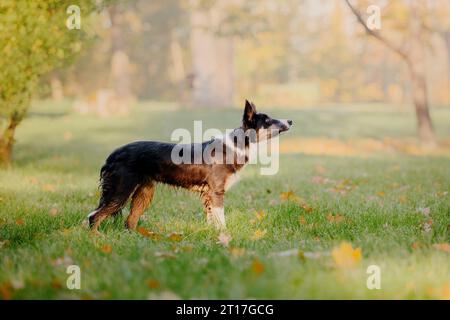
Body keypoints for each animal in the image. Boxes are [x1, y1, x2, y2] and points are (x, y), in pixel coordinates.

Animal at [88, 99, 292, 231]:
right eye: (268, 121)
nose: (290, 120)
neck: (238, 144)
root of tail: (113, 154)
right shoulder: (217, 192)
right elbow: (221, 220)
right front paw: (226, 238)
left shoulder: (208, 195)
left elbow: (212, 220)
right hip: (121, 189)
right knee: (94, 216)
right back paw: (97, 239)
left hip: (144, 192)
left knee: (129, 221)